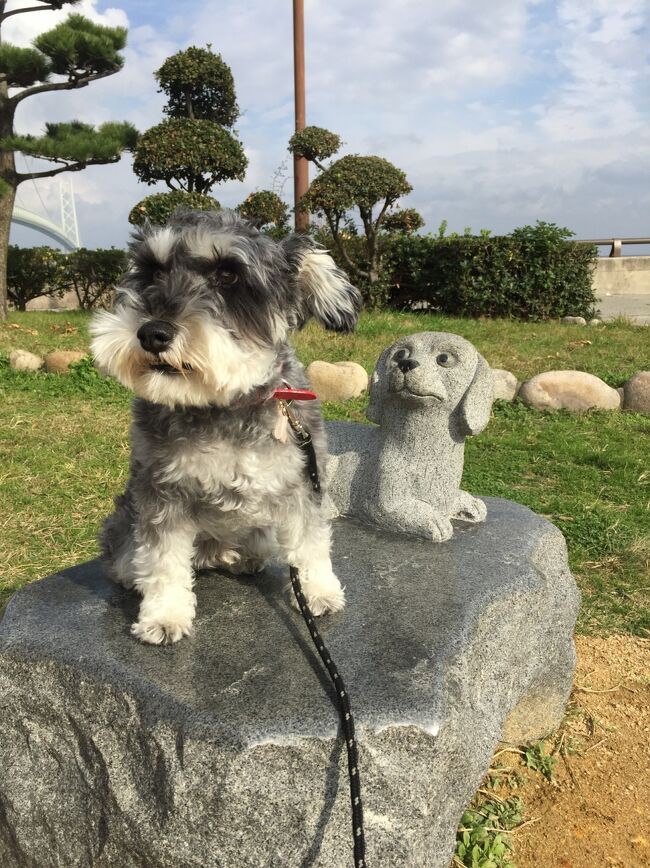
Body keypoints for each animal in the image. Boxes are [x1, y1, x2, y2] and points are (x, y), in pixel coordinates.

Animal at [90, 209, 360, 644]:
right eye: (152, 271)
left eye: (229, 275)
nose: (152, 333)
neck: (225, 404)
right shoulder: (161, 493)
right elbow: (162, 559)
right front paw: (164, 615)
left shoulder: (303, 484)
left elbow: (311, 540)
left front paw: (318, 590)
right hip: (124, 520)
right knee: (131, 556)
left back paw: (241, 556)